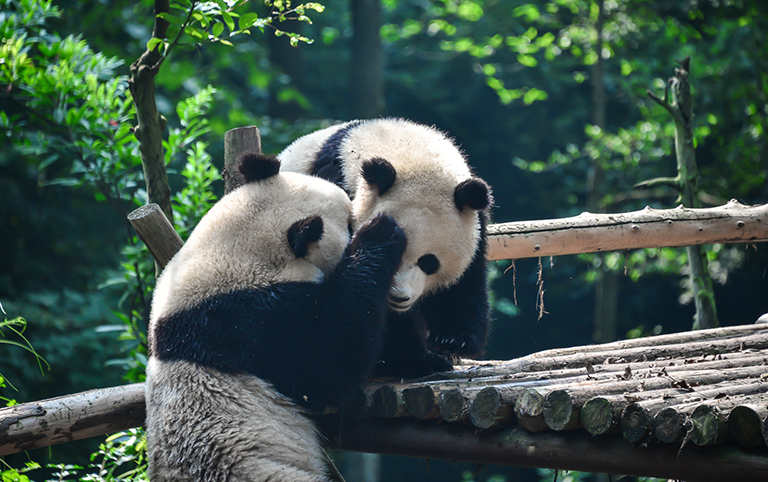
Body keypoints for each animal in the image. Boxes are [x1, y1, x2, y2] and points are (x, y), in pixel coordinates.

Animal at [280, 118, 496, 378]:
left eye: (429, 262)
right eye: (396, 253)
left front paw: (452, 340)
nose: (399, 297)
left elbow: (465, 280)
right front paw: (416, 360)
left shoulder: (473, 219)